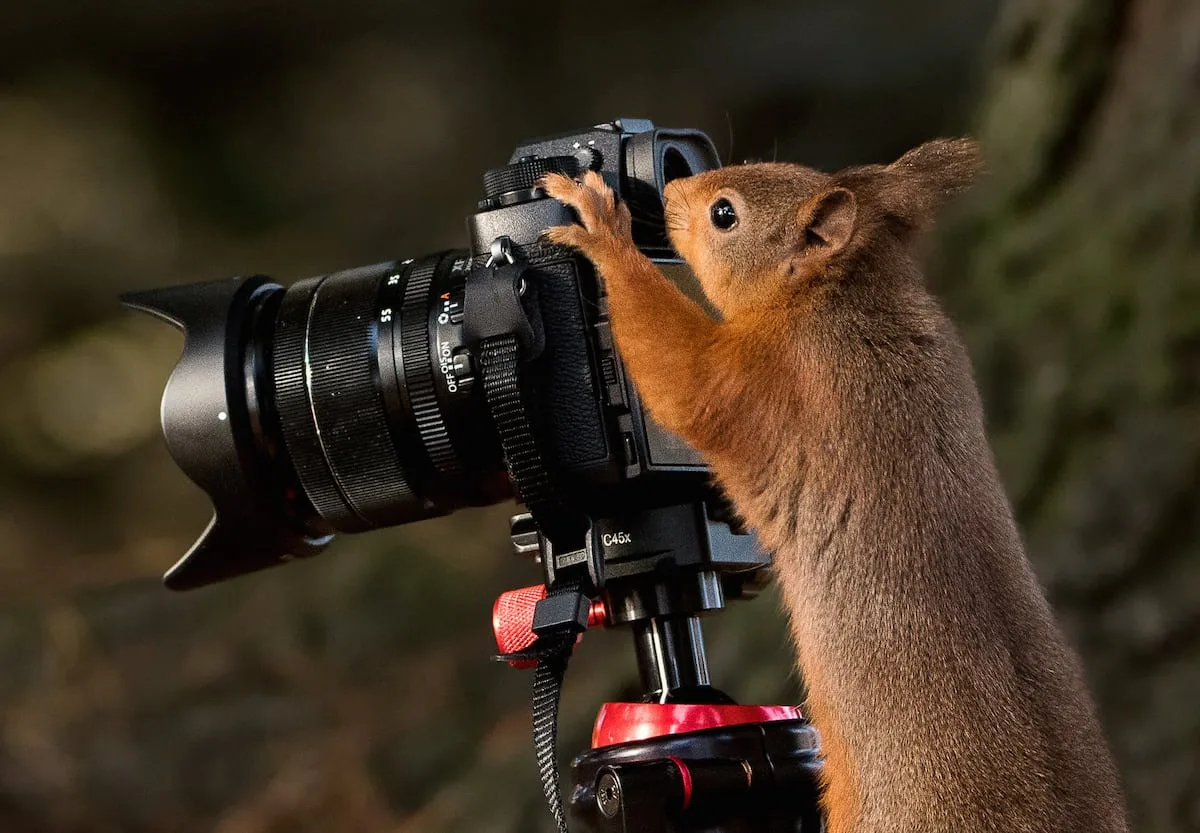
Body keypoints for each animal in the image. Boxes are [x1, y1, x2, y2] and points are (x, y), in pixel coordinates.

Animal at [540, 140, 1128, 830]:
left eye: (723, 214)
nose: (670, 191)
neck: (843, 301)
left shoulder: (764, 380)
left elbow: (683, 378)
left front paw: (603, 232)